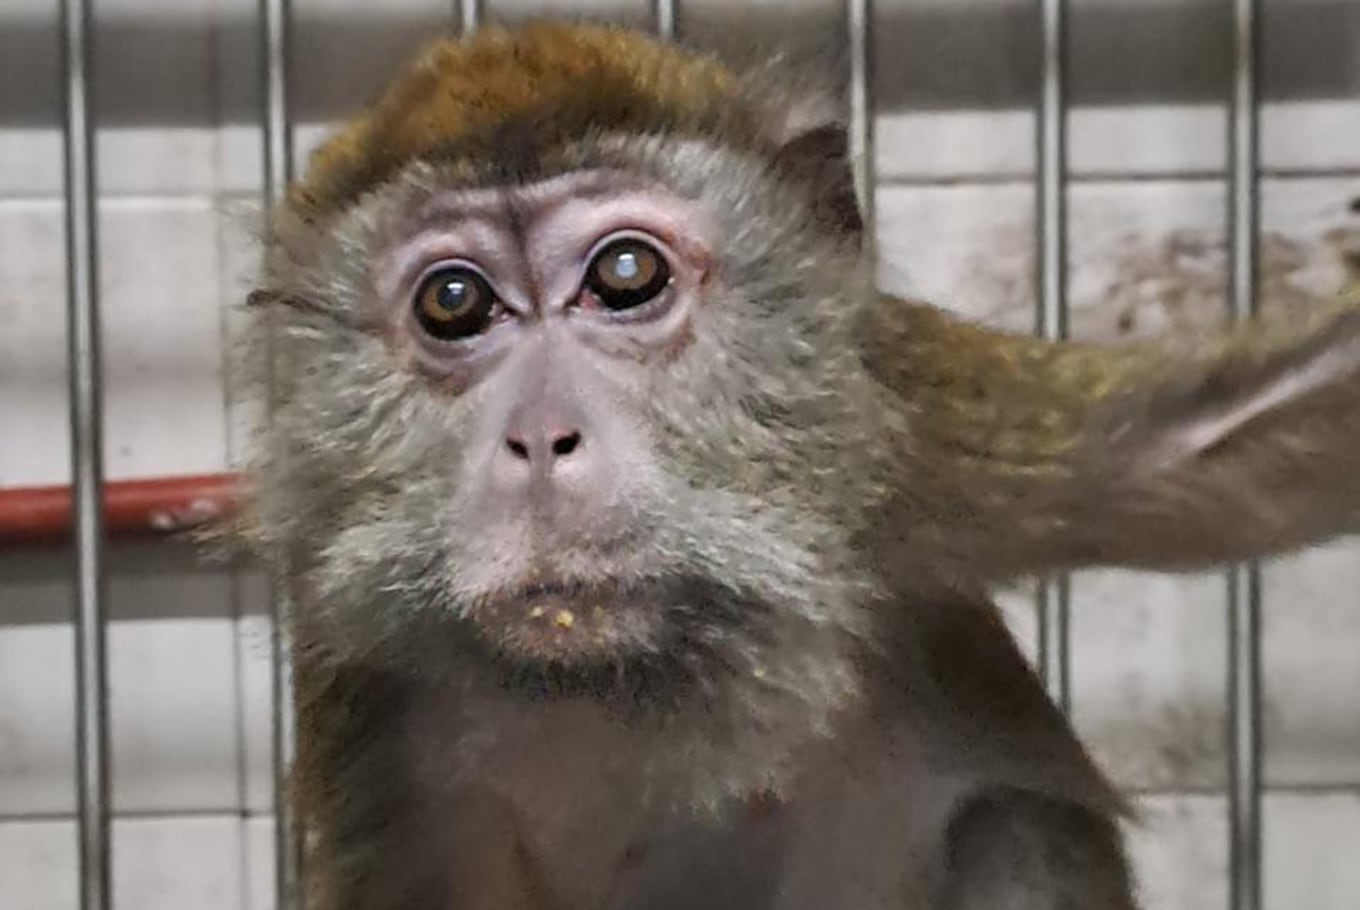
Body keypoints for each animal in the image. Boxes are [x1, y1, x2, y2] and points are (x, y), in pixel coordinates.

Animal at [237, 20, 1360, 910]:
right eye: (454, 303)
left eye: (626, 274)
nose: (542, 440)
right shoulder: (363, 689)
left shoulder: (912, 430)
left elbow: (1222, 436)